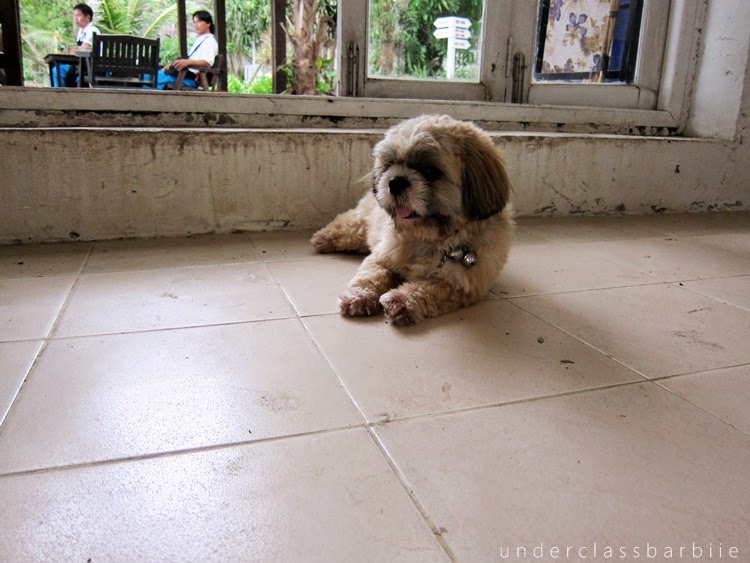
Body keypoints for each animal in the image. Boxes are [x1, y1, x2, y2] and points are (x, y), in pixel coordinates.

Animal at [311, 114, 514, 326]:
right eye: (389, 165)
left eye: (430, 171)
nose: (395, 182)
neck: (429, 237)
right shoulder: (382, 257)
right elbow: (372, 275)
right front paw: (359, 296)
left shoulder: (461, 284)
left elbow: (427, 289)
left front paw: (401, 300)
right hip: (358, 227)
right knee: (348, 226)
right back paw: (323, 238)